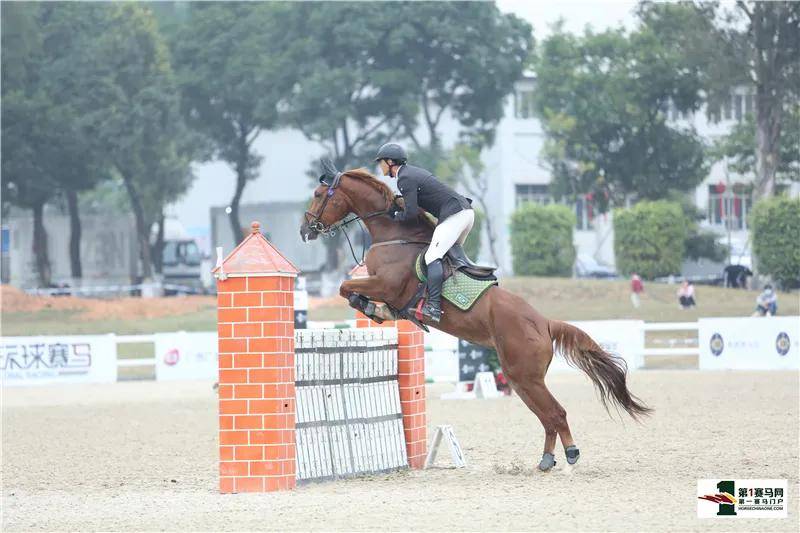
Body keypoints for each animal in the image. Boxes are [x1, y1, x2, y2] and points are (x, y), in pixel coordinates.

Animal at [300, 166, 648, 470]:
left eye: (318, 195)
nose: (305, 231)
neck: (394, 235)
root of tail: (544, 323)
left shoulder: (385, 285)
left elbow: (346, 288)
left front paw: (372, 308)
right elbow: (349, 290)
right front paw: (379, 311)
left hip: (526, 377)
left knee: (556, 414)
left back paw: (571, 454)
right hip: (521, 380)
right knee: (547, 418)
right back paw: (546, 460)